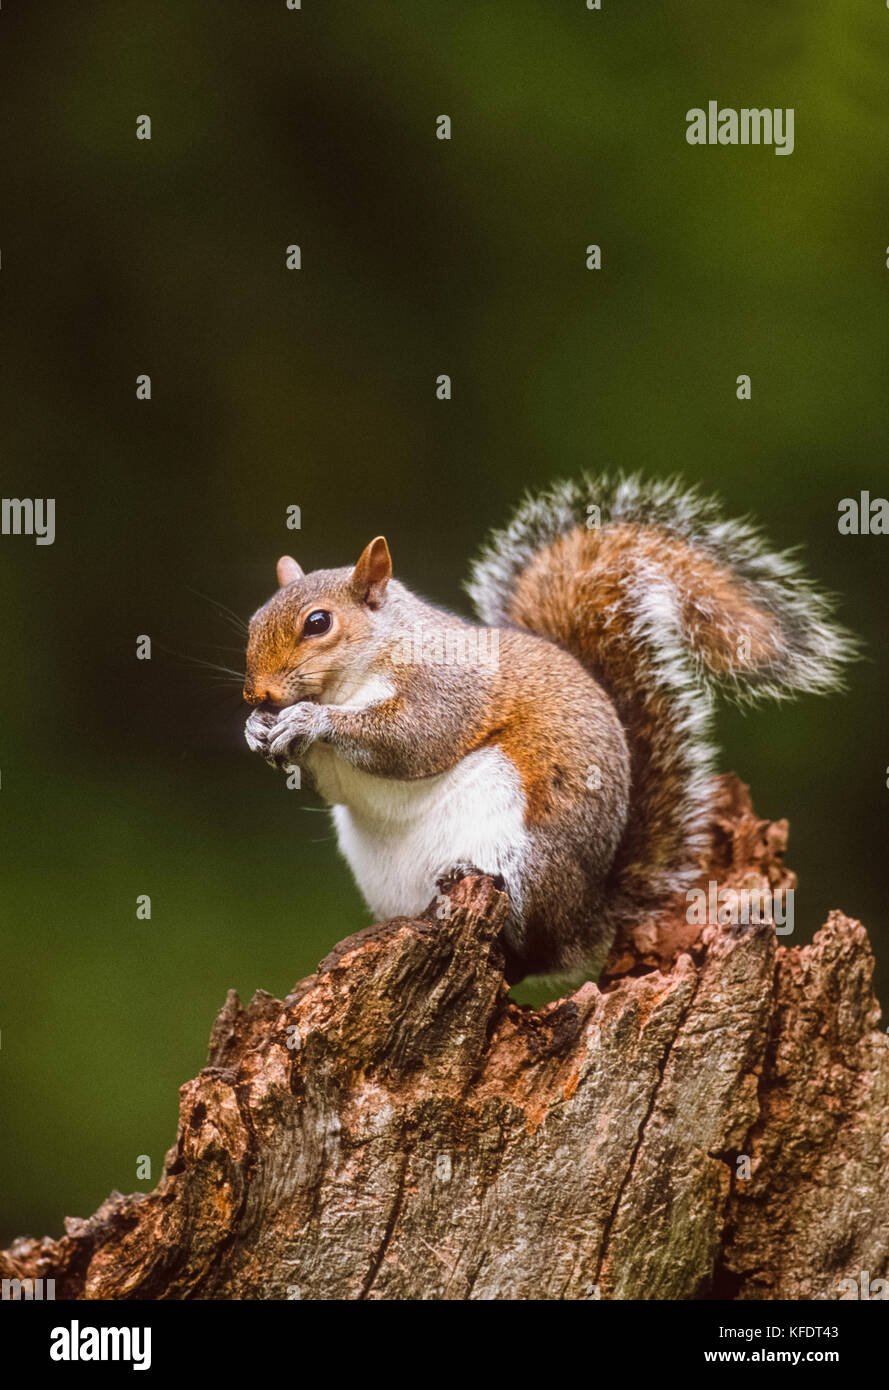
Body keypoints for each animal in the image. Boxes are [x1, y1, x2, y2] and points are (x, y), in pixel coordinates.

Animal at [241, 478, 855, 989]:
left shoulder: (447, 686)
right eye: (252, 623)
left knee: (524, 957)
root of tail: (586, 919)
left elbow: (414, 739)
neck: (359, 670)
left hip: (524, 860)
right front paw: (258, 731)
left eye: (318, 623)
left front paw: (312, 720)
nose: (257, 696)